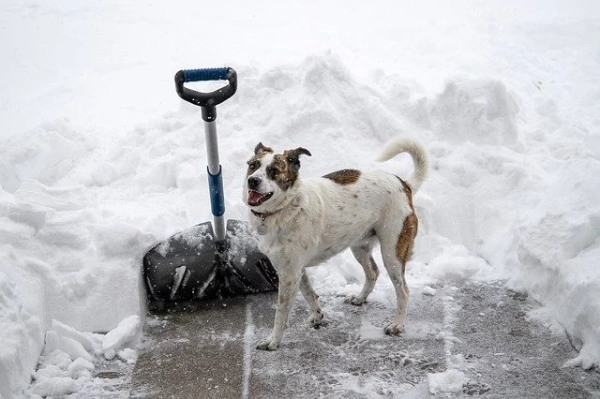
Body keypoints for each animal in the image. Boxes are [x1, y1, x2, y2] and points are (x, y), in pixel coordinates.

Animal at [244, 137, 426, 350]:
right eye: (253, 166)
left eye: (273, 171)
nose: (252, 180)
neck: (286, 207)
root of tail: (404, 184)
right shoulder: (295, 270)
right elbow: (309, 293)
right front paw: (317, 317)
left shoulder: (289, 275)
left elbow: (281, 313)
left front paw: (273, 340)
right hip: (360, 246)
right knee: (373, 272)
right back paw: (360, 298)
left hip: (392, 253)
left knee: (403, 291)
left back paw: (397, 325)